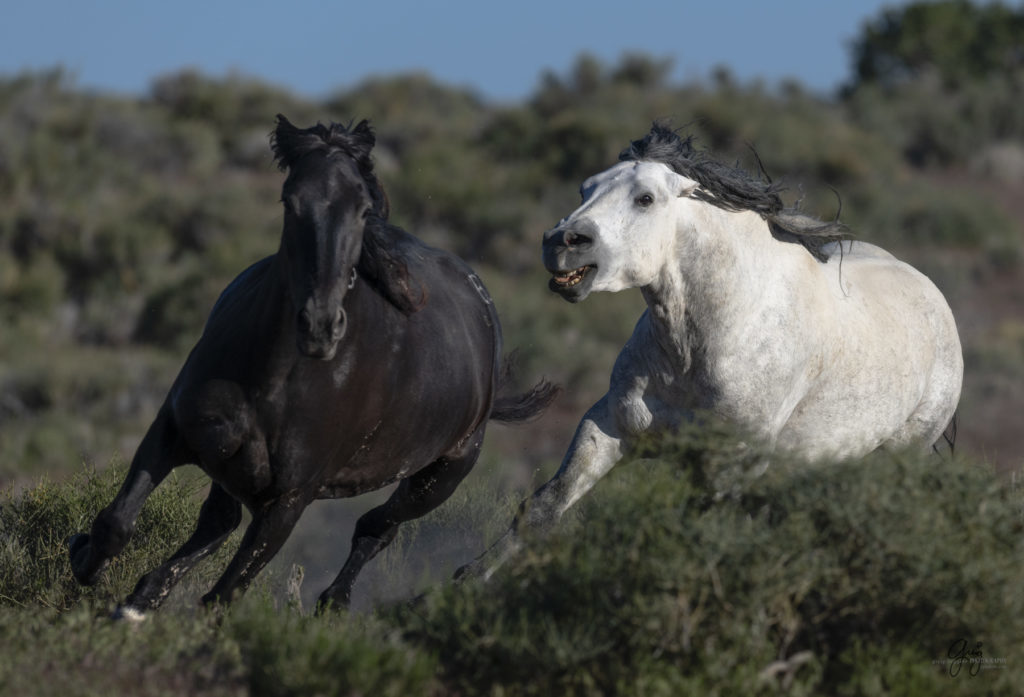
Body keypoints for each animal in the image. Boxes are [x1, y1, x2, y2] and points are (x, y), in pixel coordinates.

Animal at [68, 116, 557, 618]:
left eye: (363, 209)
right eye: (291, 200)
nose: (320, 325)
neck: (272, 377)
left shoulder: (290, 499)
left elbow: (226, 593)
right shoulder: (174, 429)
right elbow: (117, 523)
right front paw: (88, 563)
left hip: (442, 474)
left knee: (377, 527)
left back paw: (333, 601)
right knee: (218, 521)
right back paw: (145, 595)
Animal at [460, 126, 962, 581]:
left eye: (645, 199)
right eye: (587, 188)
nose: (561, 242)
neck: (702, 343)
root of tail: (930, 292)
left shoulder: (732, 465)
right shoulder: (612, 425)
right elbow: (544, 507)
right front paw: (463, 584)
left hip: (902, 451)